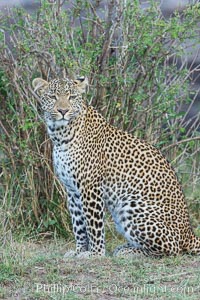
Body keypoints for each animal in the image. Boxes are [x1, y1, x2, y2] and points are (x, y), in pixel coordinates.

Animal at [32, 75, 199, 258]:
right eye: (52, 97)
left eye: (72, 97)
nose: (63, 111)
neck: (60, 134)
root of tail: (189, 233)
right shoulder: (72, 190)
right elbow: (79, 225)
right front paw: (79, 251)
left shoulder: (90, 187)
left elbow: (94, 225)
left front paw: (95, 253)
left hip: (130, 205)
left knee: (172, 249)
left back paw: (128, 251)